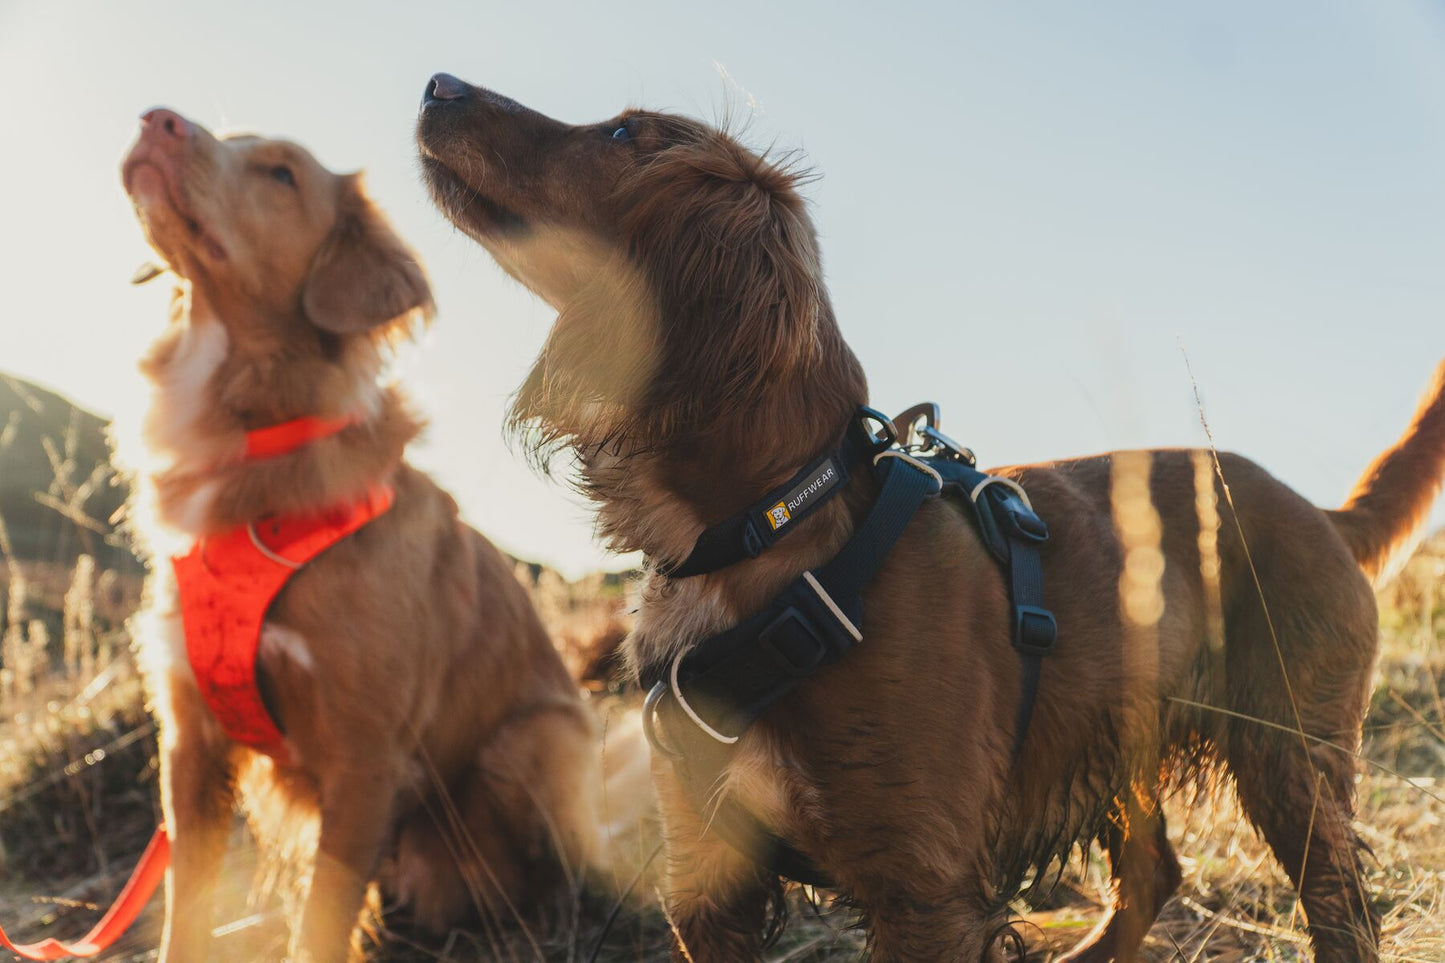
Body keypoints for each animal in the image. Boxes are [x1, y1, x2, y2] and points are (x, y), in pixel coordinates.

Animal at [117, 108, 604, 954]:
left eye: (281, 174)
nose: (156, 118)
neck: (252, 439)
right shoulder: (190, 743)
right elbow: (186, 913)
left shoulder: (366, 754)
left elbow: (318, 923)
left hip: (535, 739)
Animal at [410, 75, 1445, 960]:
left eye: (625, 135)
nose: (436, 84)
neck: (773, 531)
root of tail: (1320, 513)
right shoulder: (710, 875)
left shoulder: (921, 886)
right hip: (1121, 739)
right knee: (1154, 868)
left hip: (1288, 760)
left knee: (1341, 911)